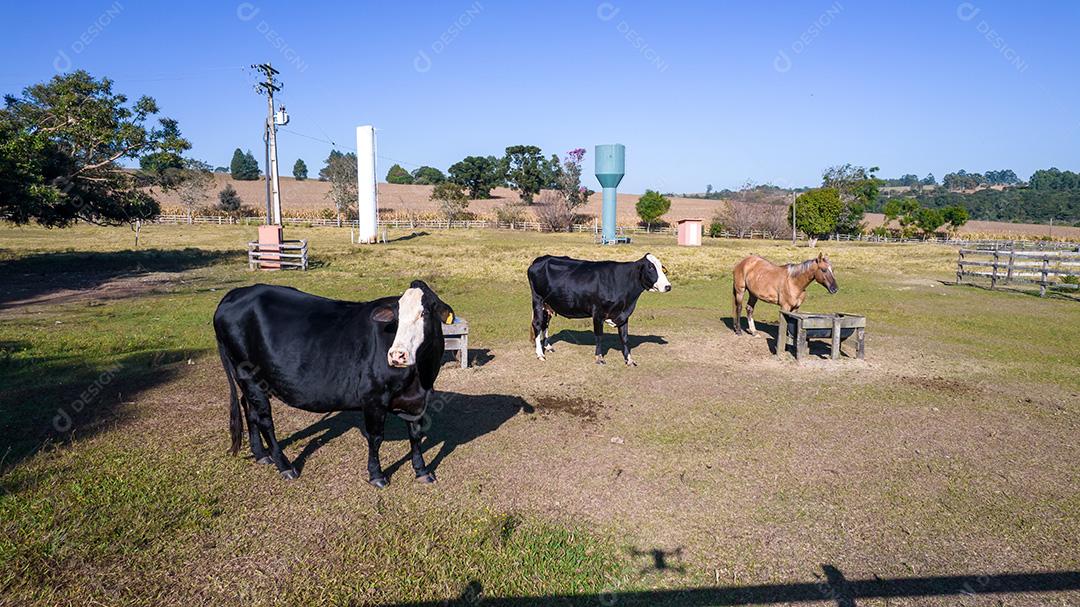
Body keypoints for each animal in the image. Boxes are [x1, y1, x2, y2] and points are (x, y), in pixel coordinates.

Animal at [213, 280, 454, 488]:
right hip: (248, 375)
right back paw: (285, 466)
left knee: (249, 409)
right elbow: (376, 438)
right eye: (396, 318)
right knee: (264, 419)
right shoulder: (373, 398)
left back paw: (261, 455)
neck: (420, 377)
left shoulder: (418, 401)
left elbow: (415, 435)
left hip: (248, 381)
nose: (397, 355)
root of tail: (237, 292)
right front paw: (376, 475)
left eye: (424, 313)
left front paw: (422, 471)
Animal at [527, 253, 671, 366]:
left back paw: (548, 347)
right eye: (650, 268)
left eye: (661, 267)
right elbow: (599, 336)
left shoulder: (624, 315)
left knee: (545, 324)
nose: (668, 286)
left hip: (548, 304)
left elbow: (624, 338)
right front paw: (599, 358)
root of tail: (541, 259)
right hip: (538, 300)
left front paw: (629, 360)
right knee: (537, 324)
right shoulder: (598, 313)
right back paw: (540, 354)